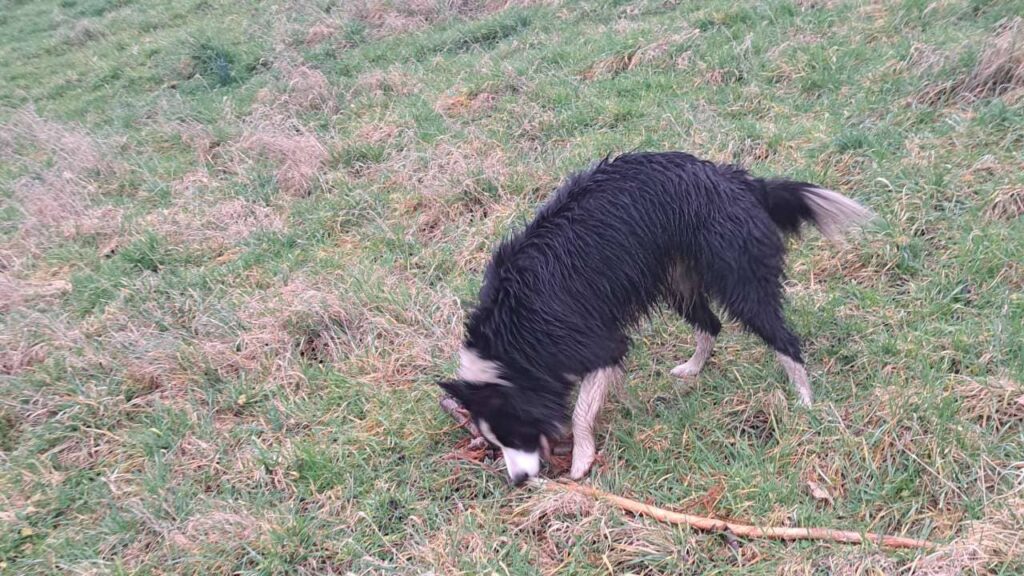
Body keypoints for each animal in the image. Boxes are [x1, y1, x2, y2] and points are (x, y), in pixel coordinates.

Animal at [436, 150, 876, 481]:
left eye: (514, 432)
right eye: (495, 442)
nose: (520, 481)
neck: (512, 336)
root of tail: (737, 180)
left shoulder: (597, 342)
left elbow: (581, 409)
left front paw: (582, 459)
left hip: (740, 280)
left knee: (783, 338)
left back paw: (804, 400)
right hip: (679, 282)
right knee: (711, 324)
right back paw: (693, 369)